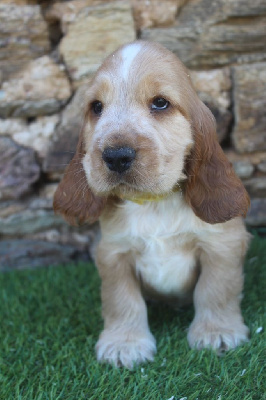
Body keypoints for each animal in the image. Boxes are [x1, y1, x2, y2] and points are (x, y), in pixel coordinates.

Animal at [53, 40, 249, 368]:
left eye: (160, 103)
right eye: (96, 107)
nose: (116, 156)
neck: (154, 204)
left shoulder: (221, 245)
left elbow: (215, 290)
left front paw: (217, 332)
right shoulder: (114, 253)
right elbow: (122, 300)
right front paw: (124, 344)